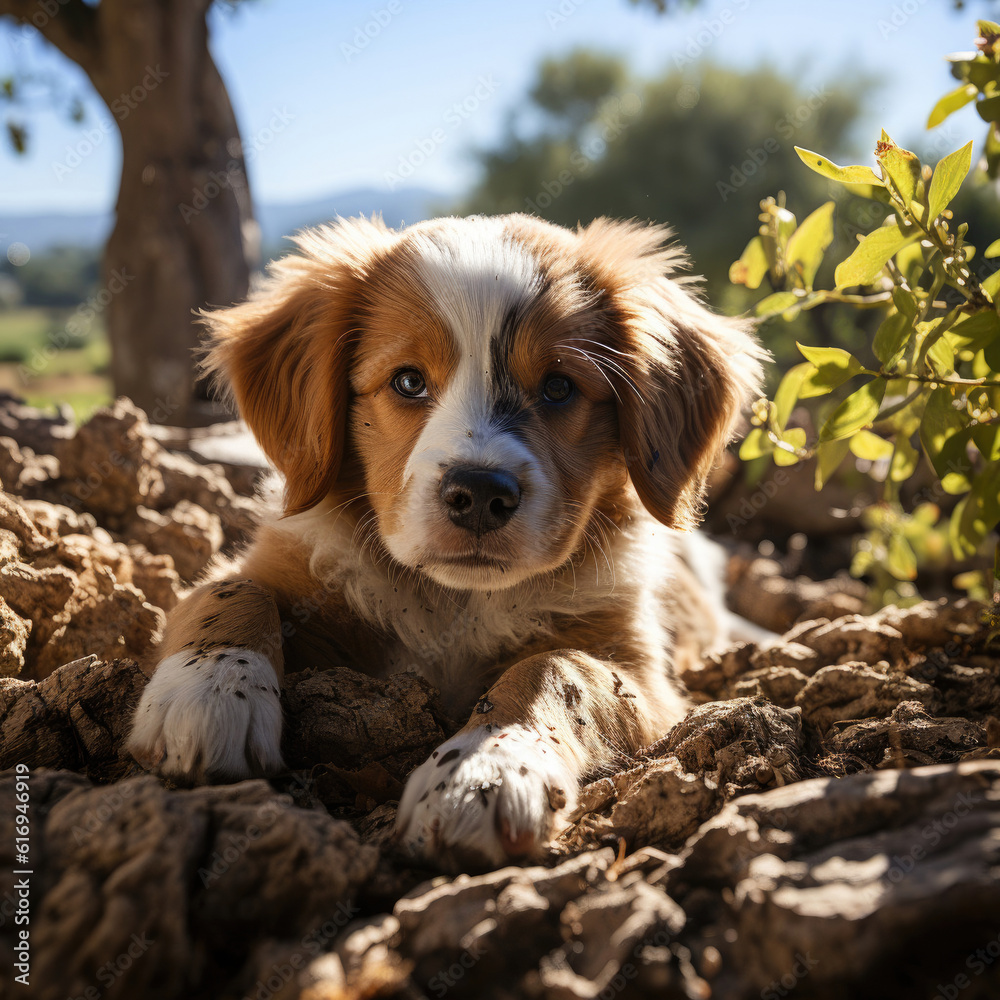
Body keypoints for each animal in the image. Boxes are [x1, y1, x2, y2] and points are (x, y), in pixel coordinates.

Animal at [125, 211, 764, 868]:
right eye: (408, 381)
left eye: (559, 387)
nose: (480, 493)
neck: (455, 601)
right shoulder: (276, 564)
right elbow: (231, 594)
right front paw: (208, 690)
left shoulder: (643, 677)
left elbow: (557, 667)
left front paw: (484, 770)